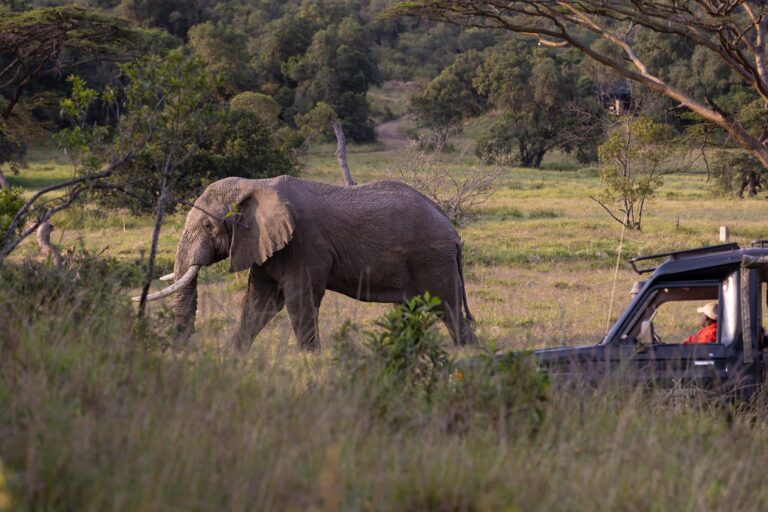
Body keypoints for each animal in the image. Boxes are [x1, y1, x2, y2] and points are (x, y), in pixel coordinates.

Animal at [136, 175, 476, 350]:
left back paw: (467, 353)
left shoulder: (304, 244)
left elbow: (299, 298)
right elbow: (259, 301)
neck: (256, 184)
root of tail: (452, 230)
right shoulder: (264, 244)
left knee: (447, 308)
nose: (179, 350)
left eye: (208, 226)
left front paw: (310, 358)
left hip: (432, 259)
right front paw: (233, 356)